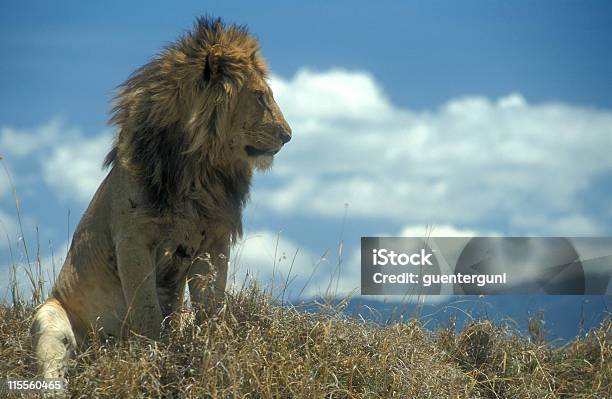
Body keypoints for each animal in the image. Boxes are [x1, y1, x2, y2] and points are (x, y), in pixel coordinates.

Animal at [29, 18, 292, 382]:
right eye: (260, 96)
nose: (288, 135)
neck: (198, 169)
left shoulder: (213, 242)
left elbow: (212, 310)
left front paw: (214, 359)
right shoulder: (132, 239)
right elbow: (147, 312)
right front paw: (151, 362)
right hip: (48, 316)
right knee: (54, 368)